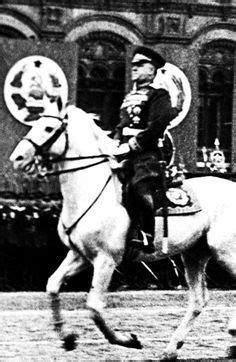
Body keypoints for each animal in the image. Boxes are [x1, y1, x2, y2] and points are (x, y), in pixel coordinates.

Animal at [9, 104, 236, 360]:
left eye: (48, 127)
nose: (17, 158)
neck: (91, 190)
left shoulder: (107, 260)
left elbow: (94, 307)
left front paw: (127, 339)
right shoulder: (79, 256)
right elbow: (52, 286)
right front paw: (66, 337)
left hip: (225, 252)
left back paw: (230, 334)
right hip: (194, 254)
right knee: (198, 300)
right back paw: (172, 348)